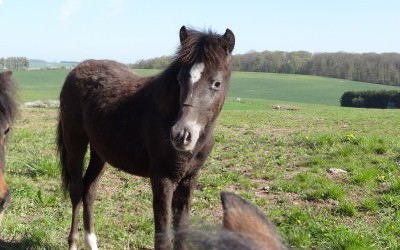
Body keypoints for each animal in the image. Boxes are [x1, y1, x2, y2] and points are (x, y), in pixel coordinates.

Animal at [57, 26, 236, 249]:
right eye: (180, 80)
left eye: (217, 83)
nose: (181, 135)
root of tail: (74, 71)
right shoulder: (162, 179)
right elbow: (163, 238)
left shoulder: (190, 178)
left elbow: (182, 233)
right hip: (75, 143)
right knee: (76, 190)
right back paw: (72, 242)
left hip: (100, 151)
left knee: (89, 190)